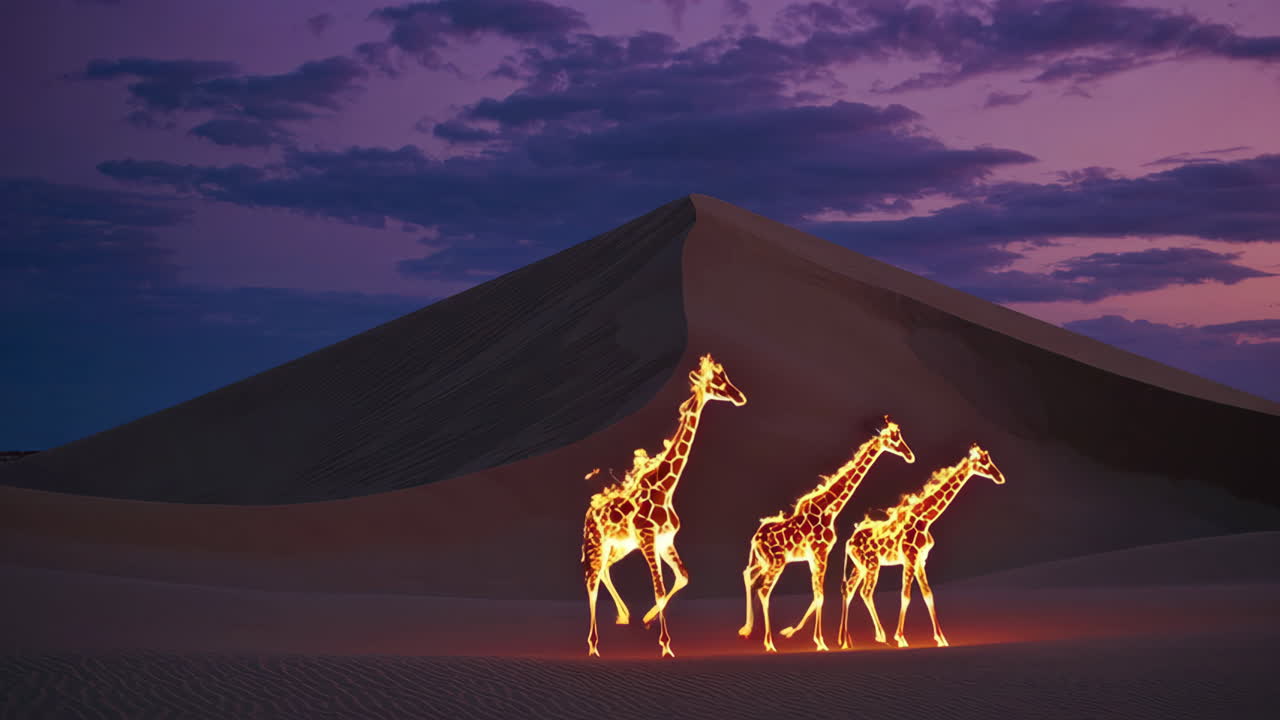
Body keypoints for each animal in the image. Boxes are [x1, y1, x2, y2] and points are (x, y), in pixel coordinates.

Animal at [581, 354, 747, 658]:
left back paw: (624, 616)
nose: (739, 396)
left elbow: (683, 577)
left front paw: (648, 619)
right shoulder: (648, 539)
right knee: (592, 583)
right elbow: (659, 589)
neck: (665, 489)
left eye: (725, 377)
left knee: (605, 570)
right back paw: (593, 646)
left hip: (620, 546)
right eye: (714, 381)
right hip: (596, 543)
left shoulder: (666, 540)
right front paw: (666, 645)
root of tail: (589, 512)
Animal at [738, 417, 915, 653]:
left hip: (762, 561)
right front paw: (821, 642)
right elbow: (820, 596)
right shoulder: (820, 552)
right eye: (892, 437)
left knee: (749, 576)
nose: (909, 455)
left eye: (900, 434)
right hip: (776, 562)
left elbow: (817, 595)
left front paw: (794, 631)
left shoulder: (815, 556)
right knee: (764, 590)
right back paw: (769, 643)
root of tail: (754, 538)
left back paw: (748, 630)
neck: (829, 508)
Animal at [838, 444, 1006, 650]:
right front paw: (901, 638)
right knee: (865, 592)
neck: (925, 519)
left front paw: (942, 639)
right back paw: (880, 636)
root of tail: (849, 541)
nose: (999, 477)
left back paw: (846, 640)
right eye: (982, 461)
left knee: (849, 590)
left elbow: (928, 594)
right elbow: (906, 595)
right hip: (872, 565)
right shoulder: (910, 557)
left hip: (859, 566)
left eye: (988, 458)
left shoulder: (920, 560)